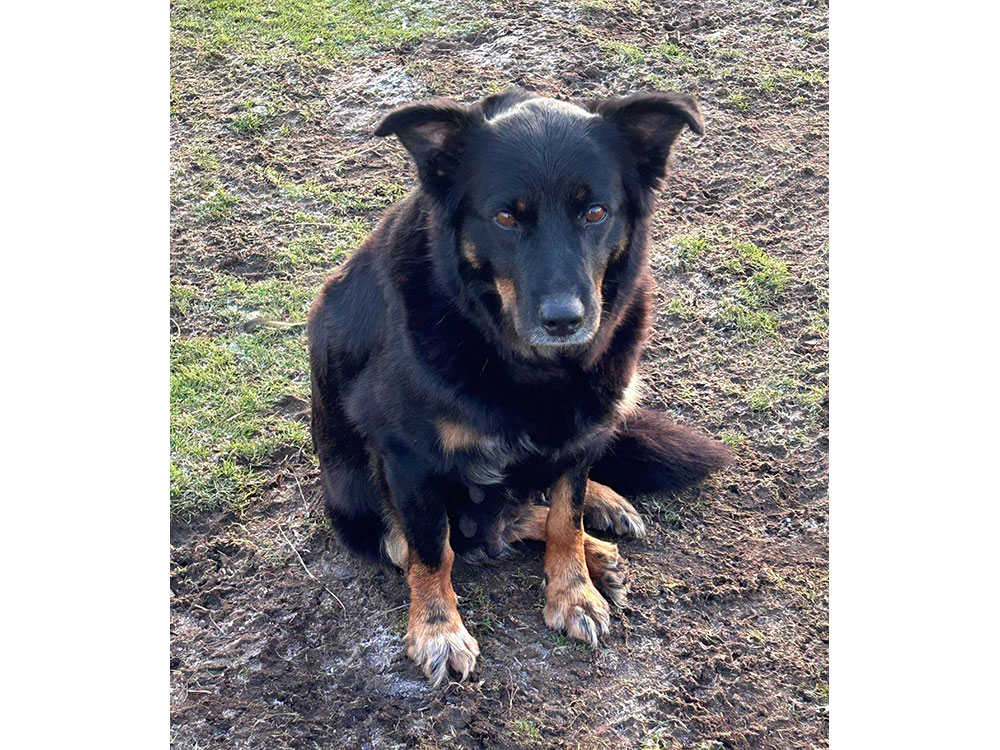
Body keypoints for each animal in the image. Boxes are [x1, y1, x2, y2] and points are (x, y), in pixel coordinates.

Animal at [308, 86, 732, 688]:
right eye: (506, 216)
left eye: (595, 212)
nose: (564, 320)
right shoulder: (406, 456)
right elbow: (432, 550)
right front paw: (437, 631)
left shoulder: (585, 422)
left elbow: (564, 514)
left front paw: (574, 591)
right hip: (361, 500)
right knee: (460, 533)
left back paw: (600, 522)